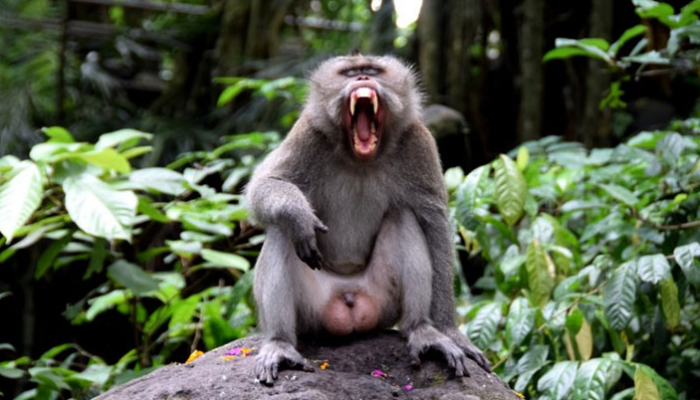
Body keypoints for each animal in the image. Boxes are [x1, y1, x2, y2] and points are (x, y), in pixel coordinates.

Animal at [245, 54, 491, 386]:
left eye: (373, 70)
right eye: (350, 72)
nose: (362, 77)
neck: (360, 158)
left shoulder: (418, 141)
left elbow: (434, 225)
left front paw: (450, 331)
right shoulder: (307, 133)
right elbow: (265, 185)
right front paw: (297, 213)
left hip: (382, 303)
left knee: (403, 216)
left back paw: (422, 330)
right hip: (312, 312)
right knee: (283, 232)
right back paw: (280, 343)